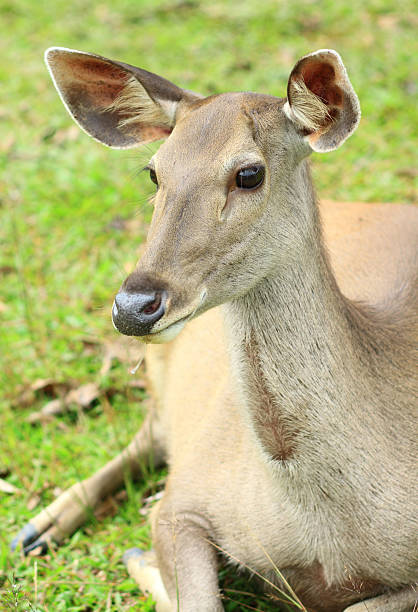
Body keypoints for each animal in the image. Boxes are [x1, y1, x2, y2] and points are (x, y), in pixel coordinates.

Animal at [11, 47, 416, 612]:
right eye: (154, 173)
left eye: (249, 173)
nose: (133, 306)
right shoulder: (186, 497)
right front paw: (143, 559)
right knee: (148, 433)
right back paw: (35, 530)